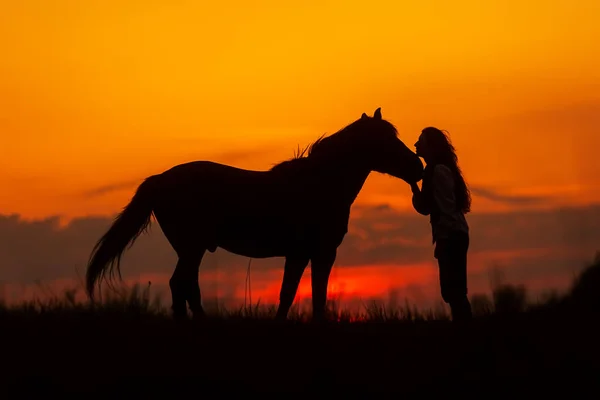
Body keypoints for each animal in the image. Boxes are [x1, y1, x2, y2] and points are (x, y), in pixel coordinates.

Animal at [85, 108, 422, 322]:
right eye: (385, 140)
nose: (417, 166)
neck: (319, 184)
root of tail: (159, 179)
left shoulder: (309, 254)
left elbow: (303, 295)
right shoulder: (313, 253)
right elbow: (300, 295)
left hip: (191, 249)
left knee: (187, 286)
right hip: (192, 248)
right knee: (180, 285)